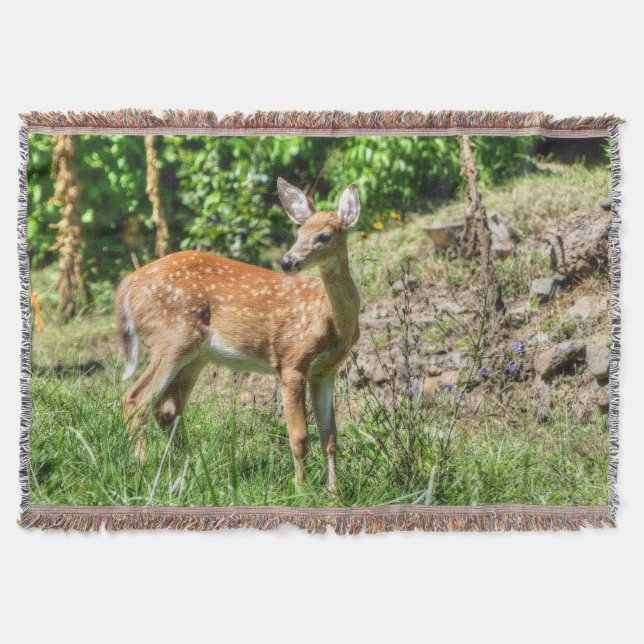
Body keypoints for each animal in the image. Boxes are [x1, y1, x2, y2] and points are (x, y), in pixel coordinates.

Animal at [115, 178, 361, 492]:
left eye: (324, 236)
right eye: (299, 232)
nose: (287, 261)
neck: (331, 319)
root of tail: (127, 284)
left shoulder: (325, 370)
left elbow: (329, 435)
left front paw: (334, 493)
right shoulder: (292, 361)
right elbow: (300, 437)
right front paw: (301, 490)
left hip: (196, 356)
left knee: (167, 407)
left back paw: (187, 469)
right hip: (173, 337)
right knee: (136, 399)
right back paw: (144, 468)